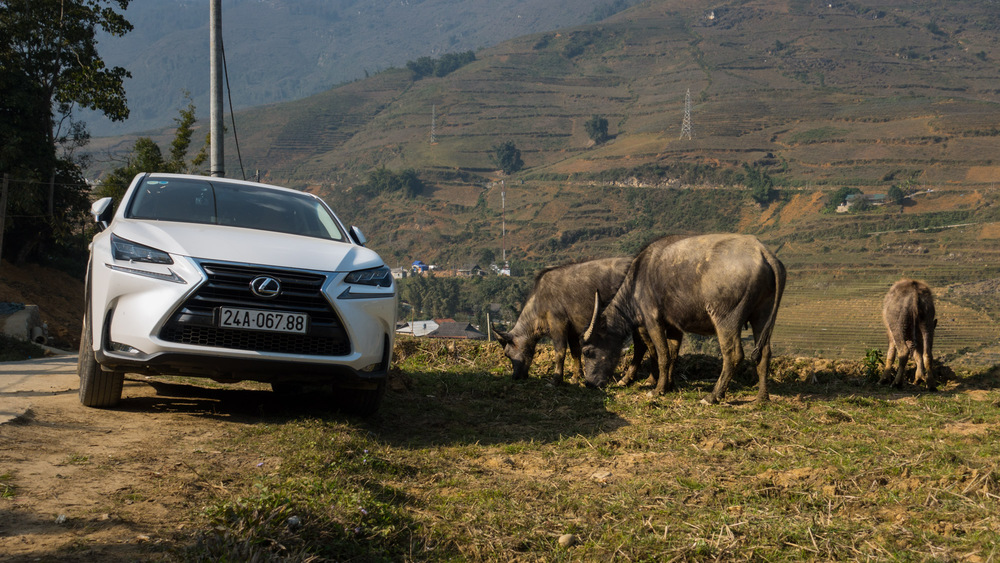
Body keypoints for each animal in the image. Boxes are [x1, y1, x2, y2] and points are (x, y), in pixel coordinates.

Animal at [494, 258, 656, 386]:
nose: (515, 376)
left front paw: (556, 380)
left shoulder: (558, 325)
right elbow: (575, 352)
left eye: (507, 354)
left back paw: (644, 379)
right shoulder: (572, 330)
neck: (539, 302)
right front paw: (576, 377)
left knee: (643, 345)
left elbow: (560, 352)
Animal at [584, 234, 784, 406]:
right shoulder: (674, 326)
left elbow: (661, 354)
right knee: (764, 353)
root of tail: (761, 252)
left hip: (726, 318)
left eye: (587, 351)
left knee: (733, 354)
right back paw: (761, 397)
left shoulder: (652, 320)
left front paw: (657, 389)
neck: (637, 282)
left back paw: (713, 396)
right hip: (762, 315)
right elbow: (673, 354)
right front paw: (669, 385)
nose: (589, 383)